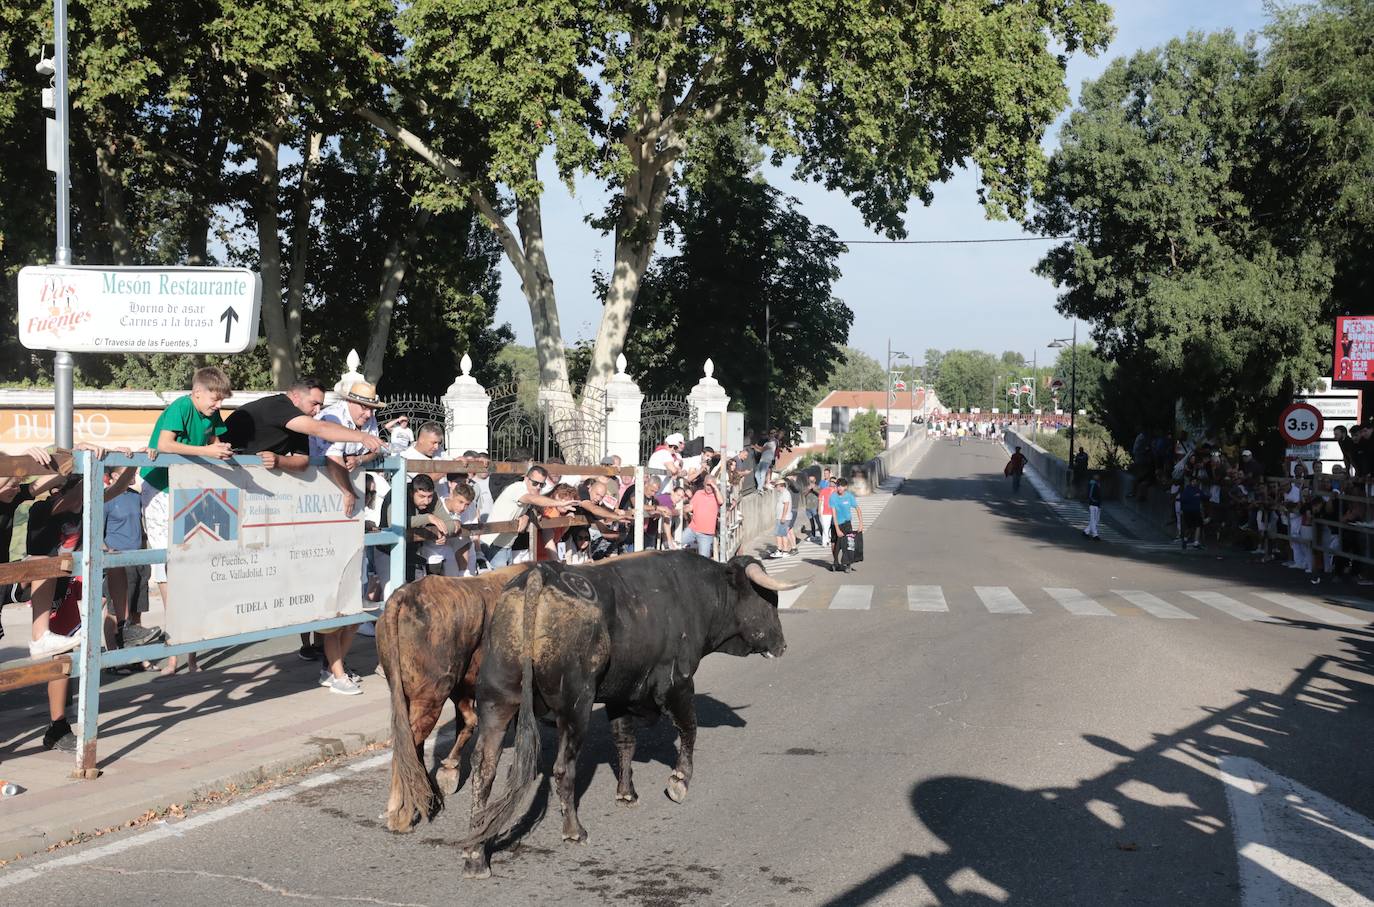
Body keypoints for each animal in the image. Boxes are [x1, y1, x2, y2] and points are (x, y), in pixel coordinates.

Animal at [376, 571, 530, 830]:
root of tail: (407, 594)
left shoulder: (465, 687)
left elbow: (467, 721)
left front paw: (449, 771)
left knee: (410, 741)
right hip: (432, 695)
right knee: (409, 742)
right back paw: (401, 814)